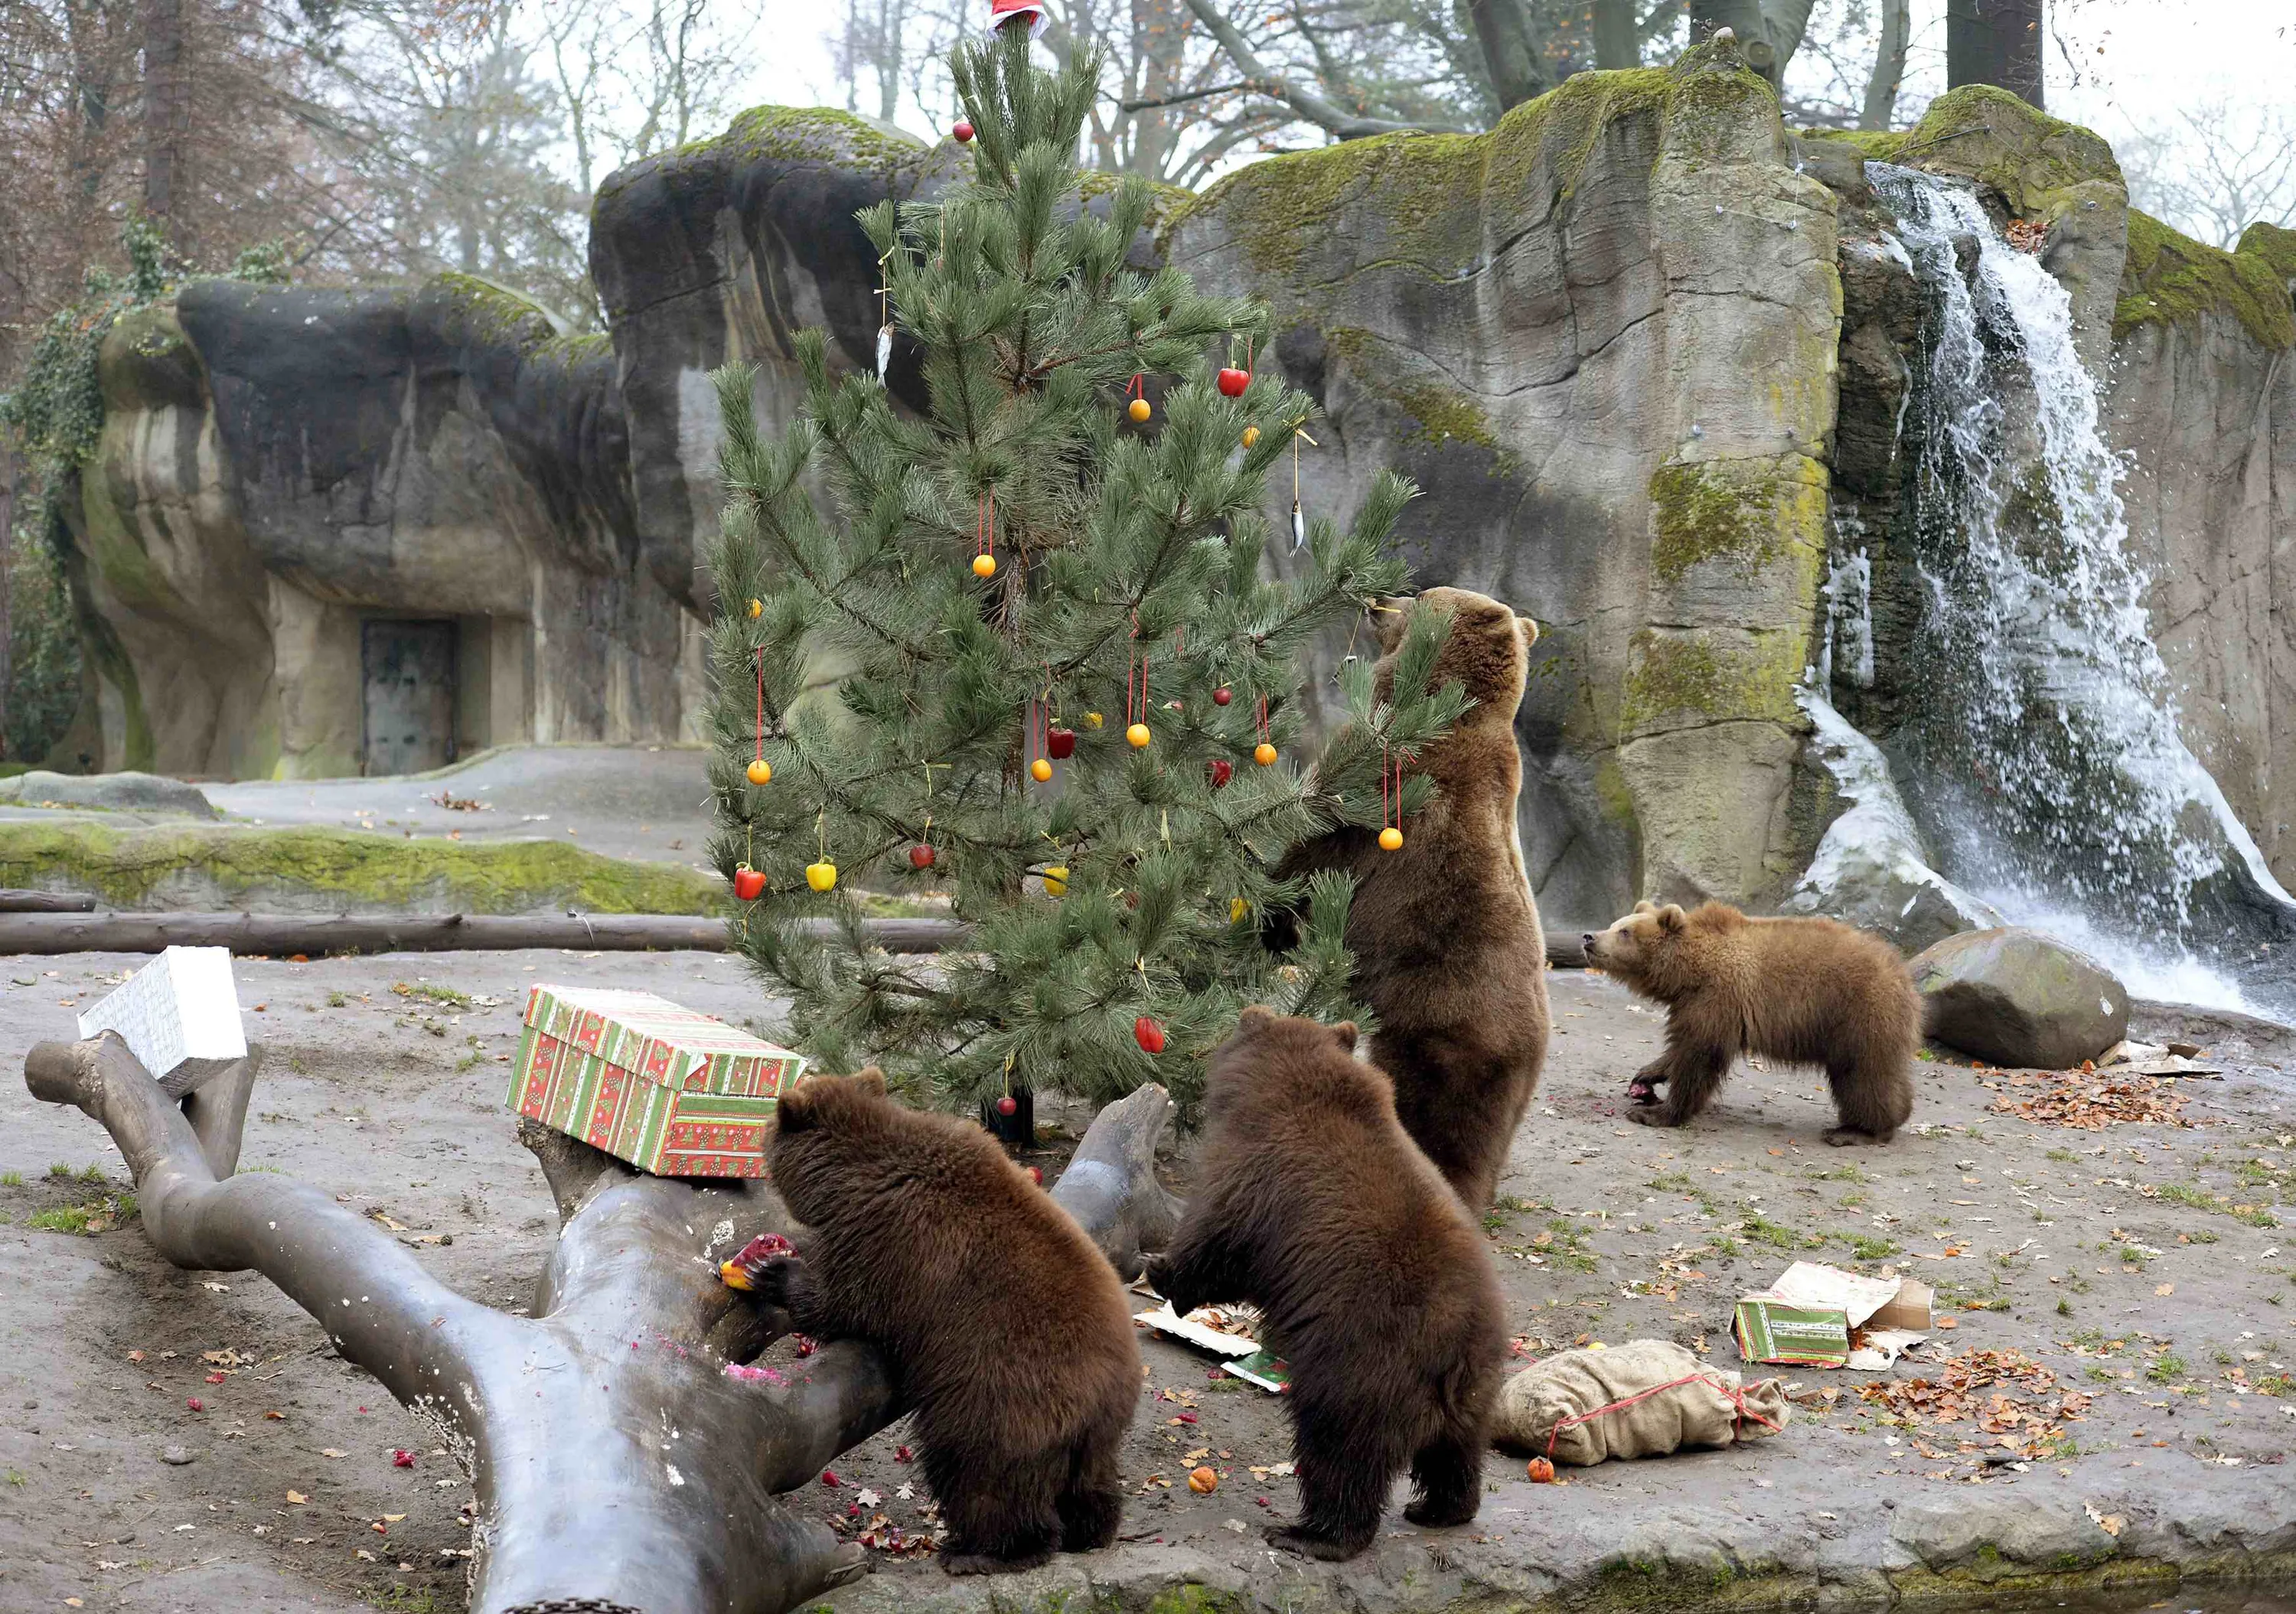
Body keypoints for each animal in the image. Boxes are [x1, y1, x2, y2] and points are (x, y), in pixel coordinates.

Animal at [758, 1074, 1143, 1580]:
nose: (760, 1134)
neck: (854, 1178)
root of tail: (1106, 1392)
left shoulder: (892, 1241)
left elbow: (844, 1304)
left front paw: (776, 1273)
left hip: (1000, 1395)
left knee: (976, 1470)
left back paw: (982, 1550)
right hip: (1097, 1426)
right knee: (1089, 1480)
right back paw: (1091, 1530)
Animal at [1143, 1010, 1506, 1561]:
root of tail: (1455, 1348)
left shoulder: (1254, 1175)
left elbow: (1218, 1239)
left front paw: (1164, 1273)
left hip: (1357, 1362)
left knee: (1339, 1449)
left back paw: (1311, 1534)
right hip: (1473, 1387)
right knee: (1455, 1452)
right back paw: (1438, 1509)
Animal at [1267, 583, 1552, 1212]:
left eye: (1420, 594)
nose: (1379, 599)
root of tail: (1522, 1047)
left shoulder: (1386, 770)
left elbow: (1315, 839)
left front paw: (1263, 914)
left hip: (1434, 1023)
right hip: (1508, 1080)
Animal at [1580, 905, 1919, 1143]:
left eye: (1624, 931)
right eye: (1615, 923)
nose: (1589, 936)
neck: (1689, 972)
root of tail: (1903, 975)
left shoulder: (1718, 999)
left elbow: (1699, 1056)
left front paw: (1654, 1113)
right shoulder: (1693, 1005)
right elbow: (1680, 1049)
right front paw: (1647, 1074)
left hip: (1859, 1014)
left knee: (1862, 1075)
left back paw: (1857, 1131)